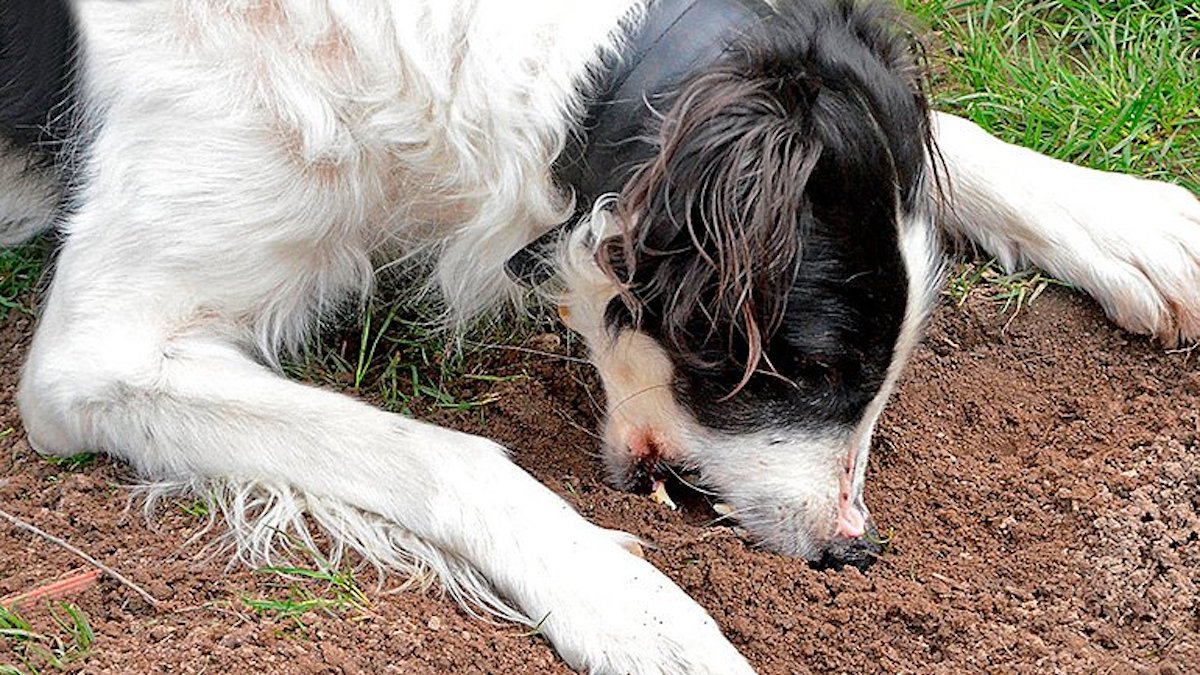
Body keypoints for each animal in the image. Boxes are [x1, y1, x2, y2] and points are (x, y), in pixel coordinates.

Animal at [7, 0, 1200, 667]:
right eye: (811, 366)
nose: (850, 551)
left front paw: (1139, 223)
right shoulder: (95, 357)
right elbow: (444, 454)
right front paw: (637, 608)